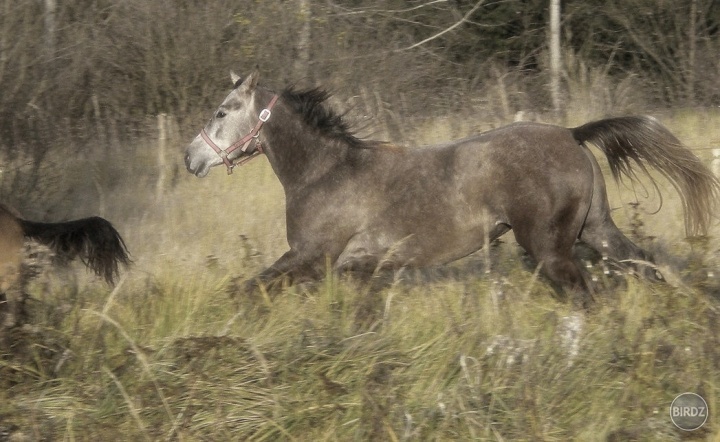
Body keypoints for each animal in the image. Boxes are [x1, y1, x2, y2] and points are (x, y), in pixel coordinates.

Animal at [183, 71, 720, 308]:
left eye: (223, 110)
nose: (191, 158)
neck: (325, 171)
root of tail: (572, 134)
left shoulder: (312, 258)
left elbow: (248, 287)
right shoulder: (358, 270)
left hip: (549, 247)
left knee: (585, 295)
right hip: (595, 229)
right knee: (642, 265)